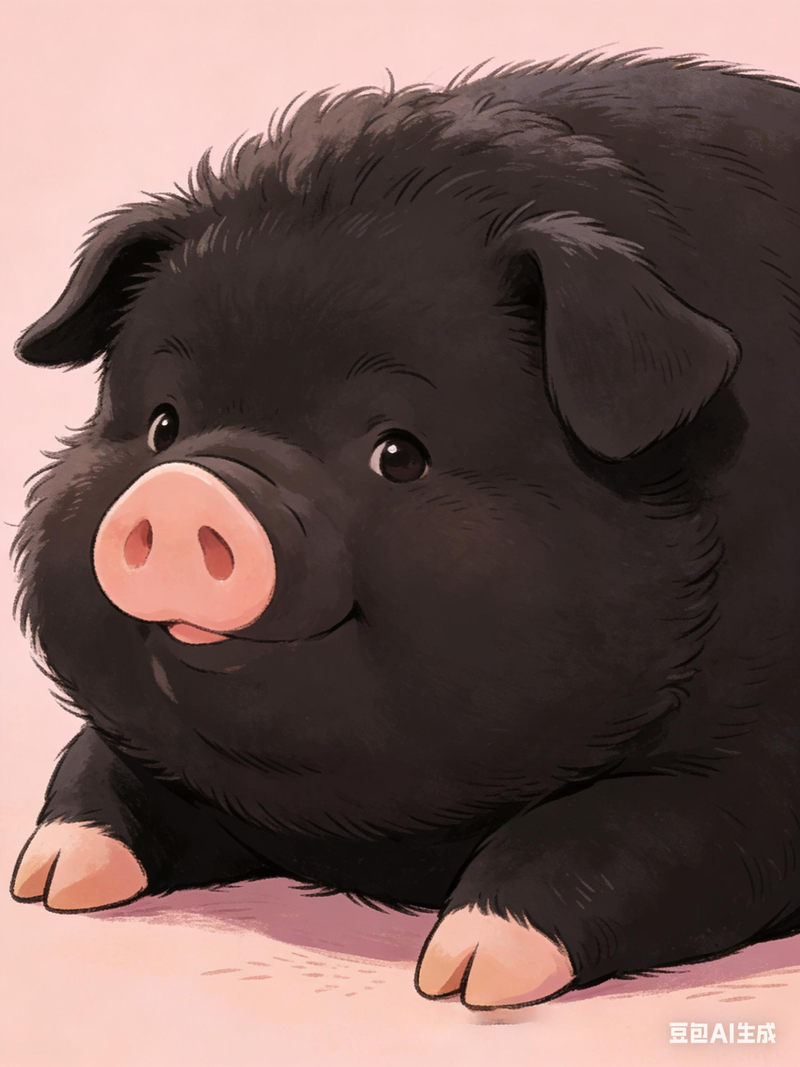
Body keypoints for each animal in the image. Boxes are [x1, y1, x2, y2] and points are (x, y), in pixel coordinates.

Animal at [9, 50, 800, 1010]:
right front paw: (46, 878)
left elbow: (640, 825)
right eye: (163, 424)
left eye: (399, 453)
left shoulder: (757, 778)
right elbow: (101, 759)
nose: (190, 485)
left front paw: (463, 973)